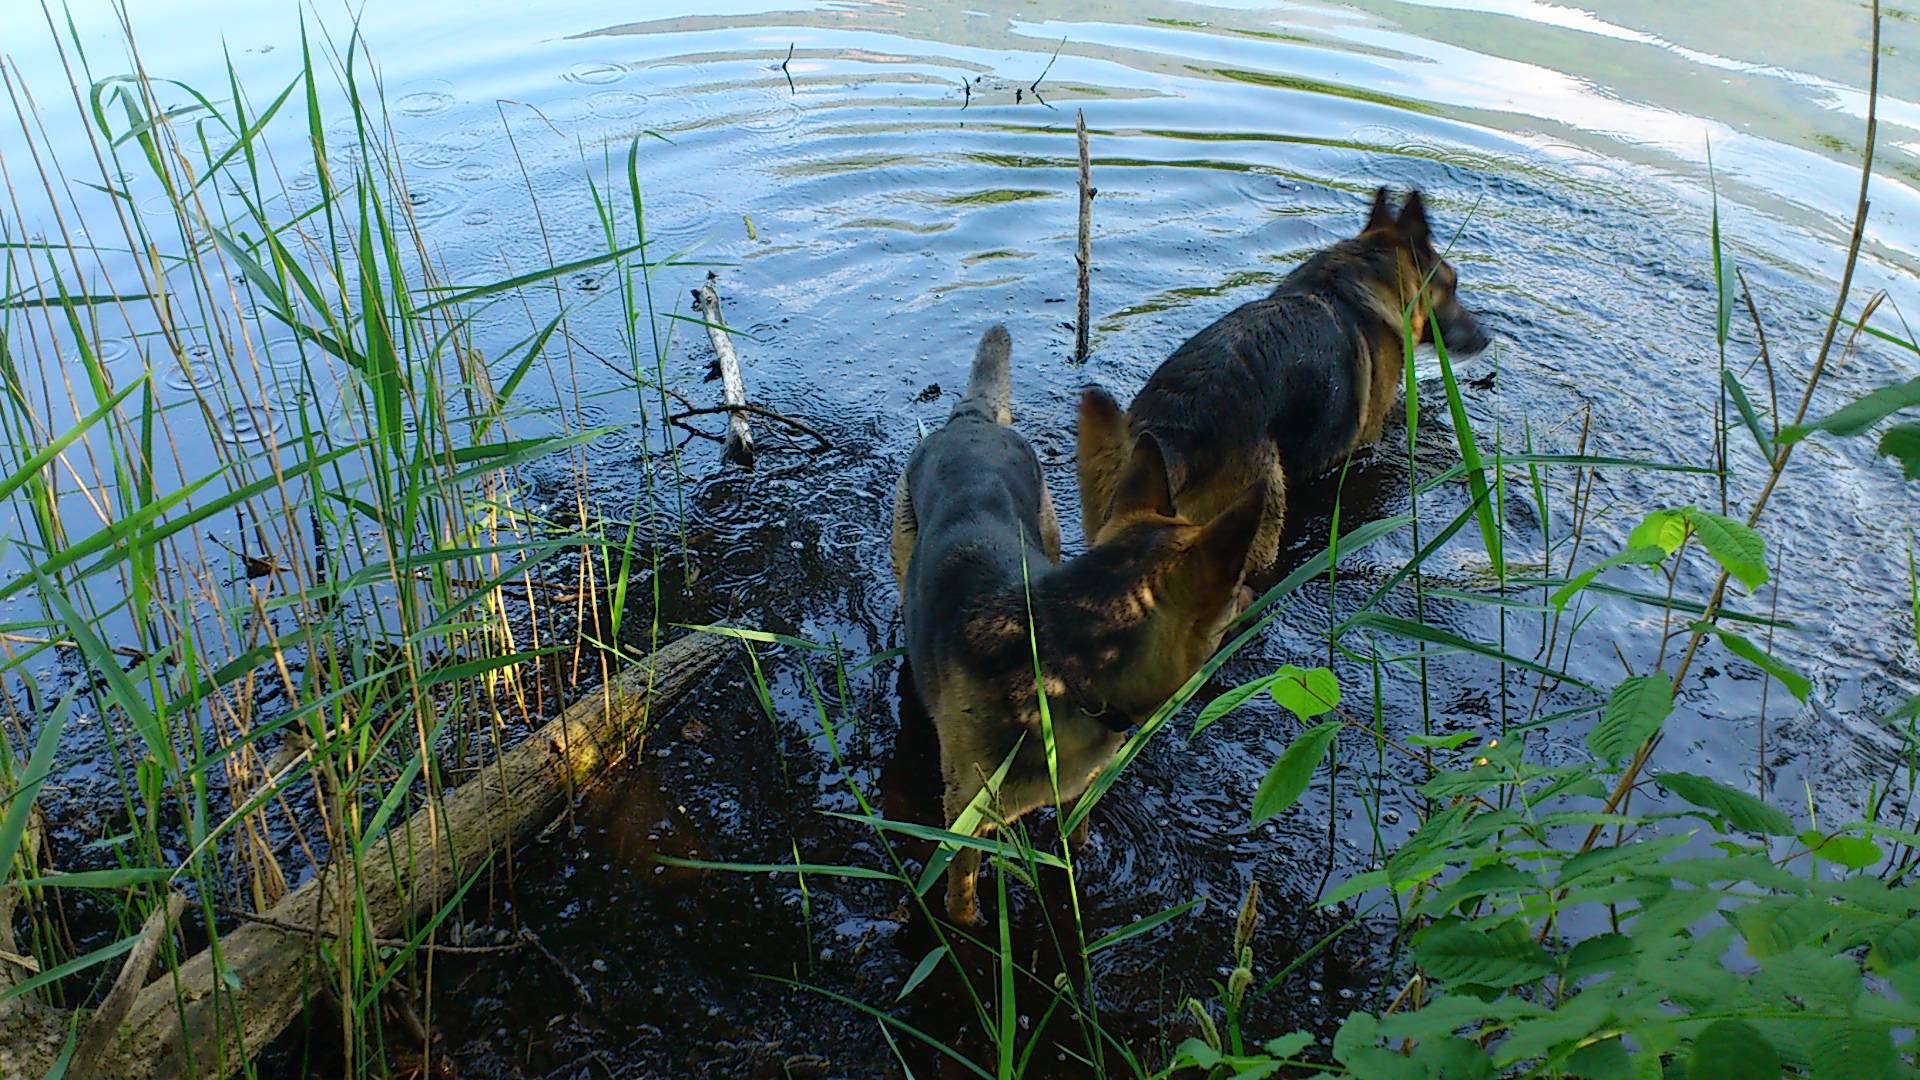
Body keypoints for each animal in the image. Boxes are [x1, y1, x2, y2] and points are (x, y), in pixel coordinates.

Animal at [890, 322, 1267, 922]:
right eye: (1234, 590)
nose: (1259, 588)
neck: (1062, 666)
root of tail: (972, 420)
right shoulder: (963, 822)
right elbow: (962, 902)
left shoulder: (1079, 789)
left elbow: (1075, 834)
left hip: (1046, 530)